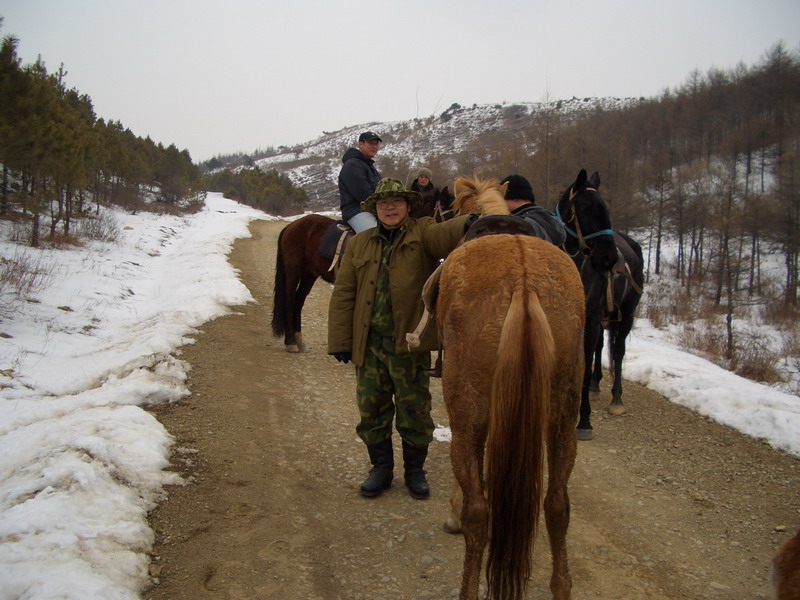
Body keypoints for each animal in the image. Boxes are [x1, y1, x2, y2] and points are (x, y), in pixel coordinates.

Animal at [270, 213, 336, 352]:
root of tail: (291, 225)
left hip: (309, 275)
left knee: (298, 302)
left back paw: (298, 340)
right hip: (293, 272)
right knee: (290, 302)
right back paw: (290, 342)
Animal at [440, 176, 584, 596]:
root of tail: (523, 283)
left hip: (468, 410)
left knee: (478, 511)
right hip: (562, 416)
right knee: (557, 505)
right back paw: (561, 587)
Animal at [556, 169, 644, 440]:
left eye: (605, 207)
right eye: (585, 207)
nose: (609, 258)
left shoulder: (591, 319)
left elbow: (583, 367)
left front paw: (583, 420)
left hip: (626, 314)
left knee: (618, 351)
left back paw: (616, 398)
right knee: (601, 347)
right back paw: (596, 384)